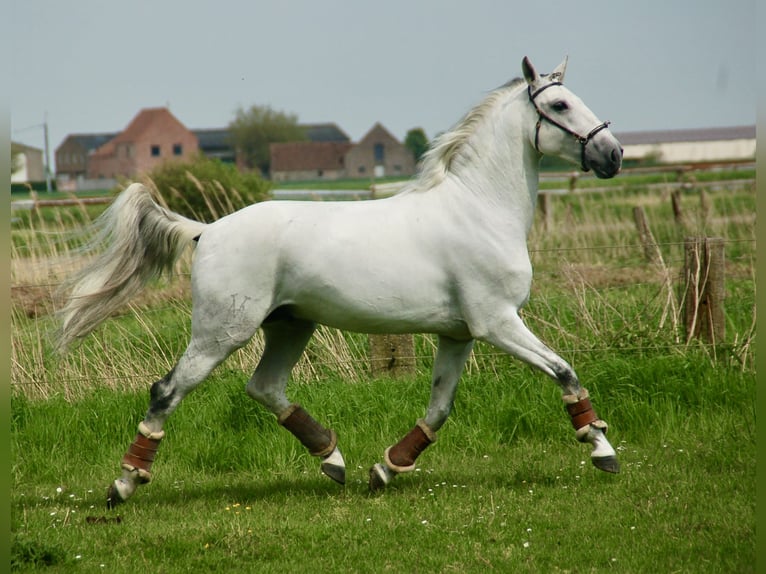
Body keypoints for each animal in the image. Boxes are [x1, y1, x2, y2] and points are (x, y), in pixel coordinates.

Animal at [58, 57, 624, 508]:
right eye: (560, 104)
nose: (614, 155)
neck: (479, 209)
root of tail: (207, 230)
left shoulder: (458, 334)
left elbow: (439, 409)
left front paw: (386, 469)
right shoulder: (498, 323)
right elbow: (565, 372)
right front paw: (603, 450)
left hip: (289, 326)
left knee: (264, 386)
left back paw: (333, 460)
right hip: (222, 332)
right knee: (167, 391)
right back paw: (124, 484)